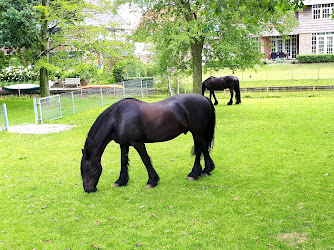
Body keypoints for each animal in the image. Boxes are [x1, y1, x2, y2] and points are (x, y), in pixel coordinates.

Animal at [81, 94, 217, 193]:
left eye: (91, 169)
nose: (88, 189)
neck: (118, 118)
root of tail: (204, 98)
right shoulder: (124, 144)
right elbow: (123, 161)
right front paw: (120, 181)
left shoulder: (138, 143)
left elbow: (145, 160)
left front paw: (152, 181)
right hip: (200, 132)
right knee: (204, 146)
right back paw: (206, 170)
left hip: (196, 132)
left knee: (198, 150)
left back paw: (194, 173)